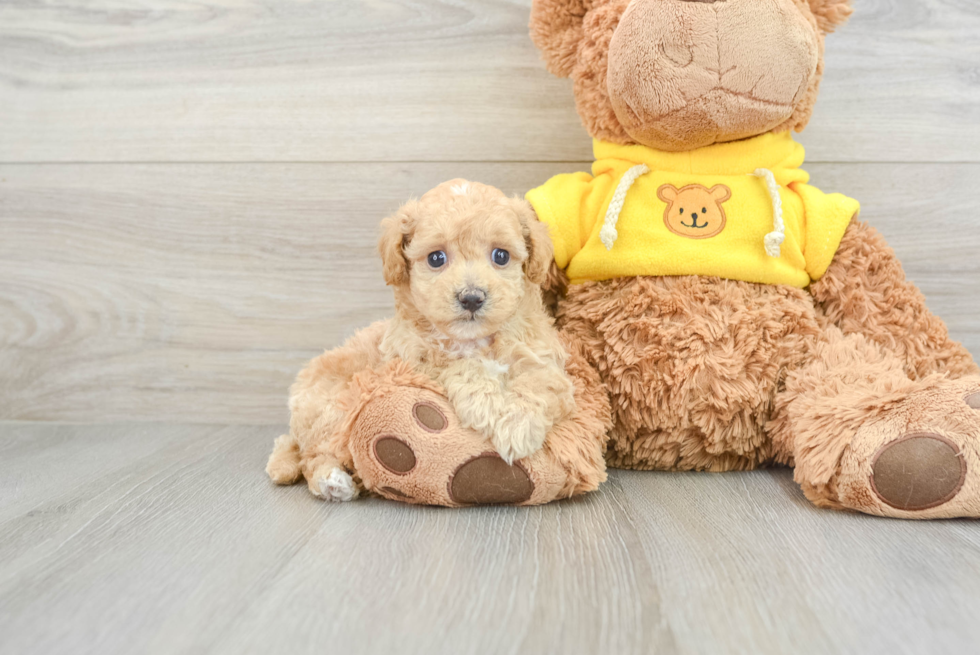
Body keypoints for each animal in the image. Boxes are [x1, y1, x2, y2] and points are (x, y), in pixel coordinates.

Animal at [268, 179, 576, 502]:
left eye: (501, 256)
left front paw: (517, 428)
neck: (473, 340)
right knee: (312, 455)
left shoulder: (541, 358)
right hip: (333, 408)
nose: (471, 297)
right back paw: (331, 481)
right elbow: (460, 367)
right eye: (436, 258)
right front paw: (486, 405)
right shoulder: (413, 363)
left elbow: (538, 384)